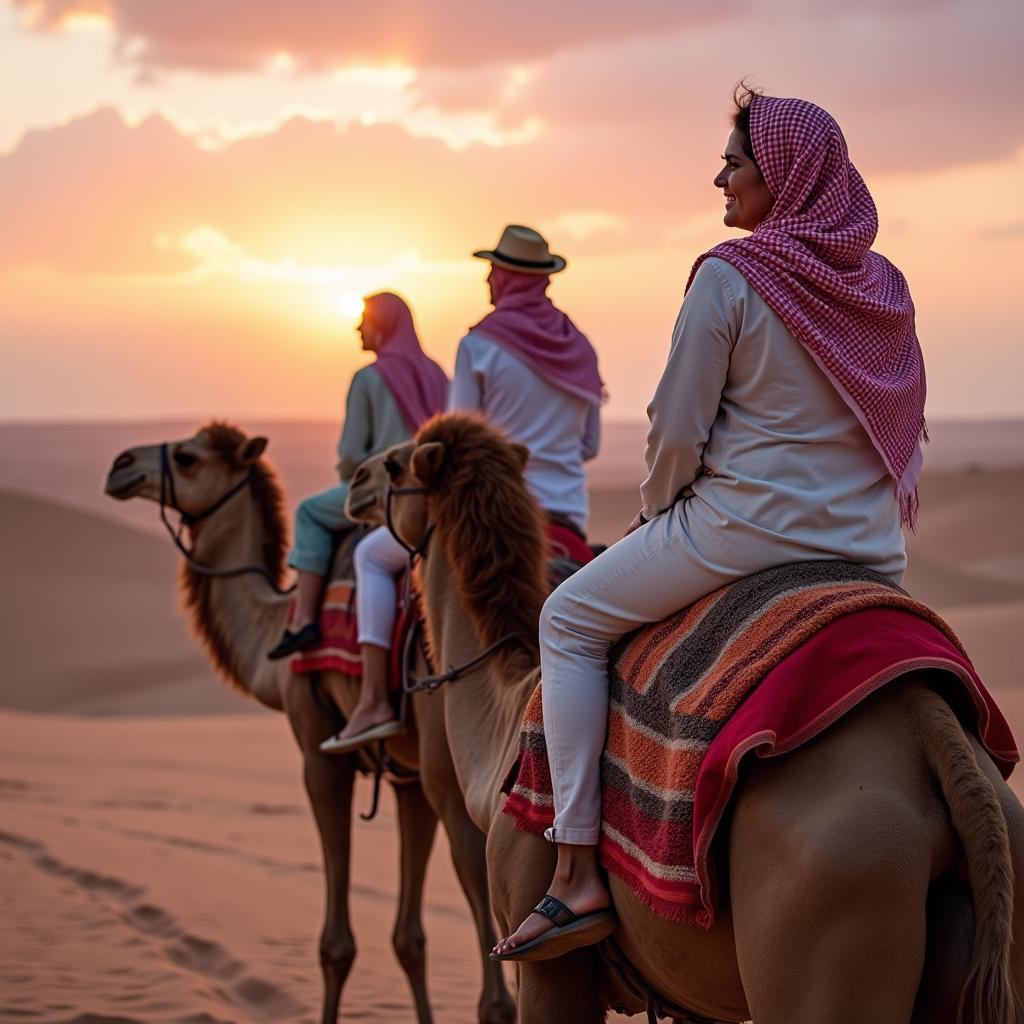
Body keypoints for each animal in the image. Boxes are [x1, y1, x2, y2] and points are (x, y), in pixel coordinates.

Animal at [102, 421, 512, 1024]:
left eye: (188, 457)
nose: (121, 465)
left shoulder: (320, 755)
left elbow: (335, 944)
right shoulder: (408, 779)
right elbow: (409, 939)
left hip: (454, 770)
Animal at [346, 413, 1024, 1024]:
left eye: (395, 464)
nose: (353, 478)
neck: (502, 722)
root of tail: (936, 735)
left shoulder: (541, 961)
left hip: (837, 896)